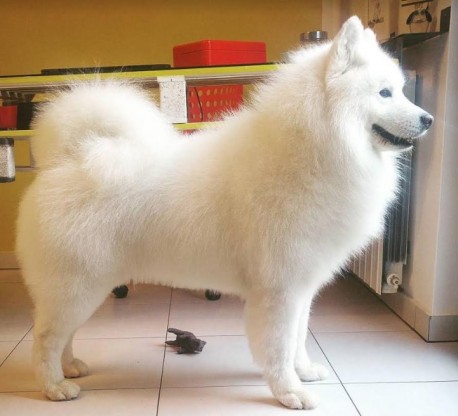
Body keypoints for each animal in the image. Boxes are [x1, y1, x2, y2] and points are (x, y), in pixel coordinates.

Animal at [16, 16, 433, 410]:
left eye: (399, 90)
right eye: (384, 93)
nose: (428, 119)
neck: (314, 148)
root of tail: (69, 158)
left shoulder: (302, 288)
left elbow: (298, 339)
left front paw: (303, 372)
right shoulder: (280, 290)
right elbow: (279, 347)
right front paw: (289, 393)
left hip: (82, 287)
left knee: (63, 335)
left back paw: (71, 367)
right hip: (78, 285)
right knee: (45, 337)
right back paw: (54, 386)